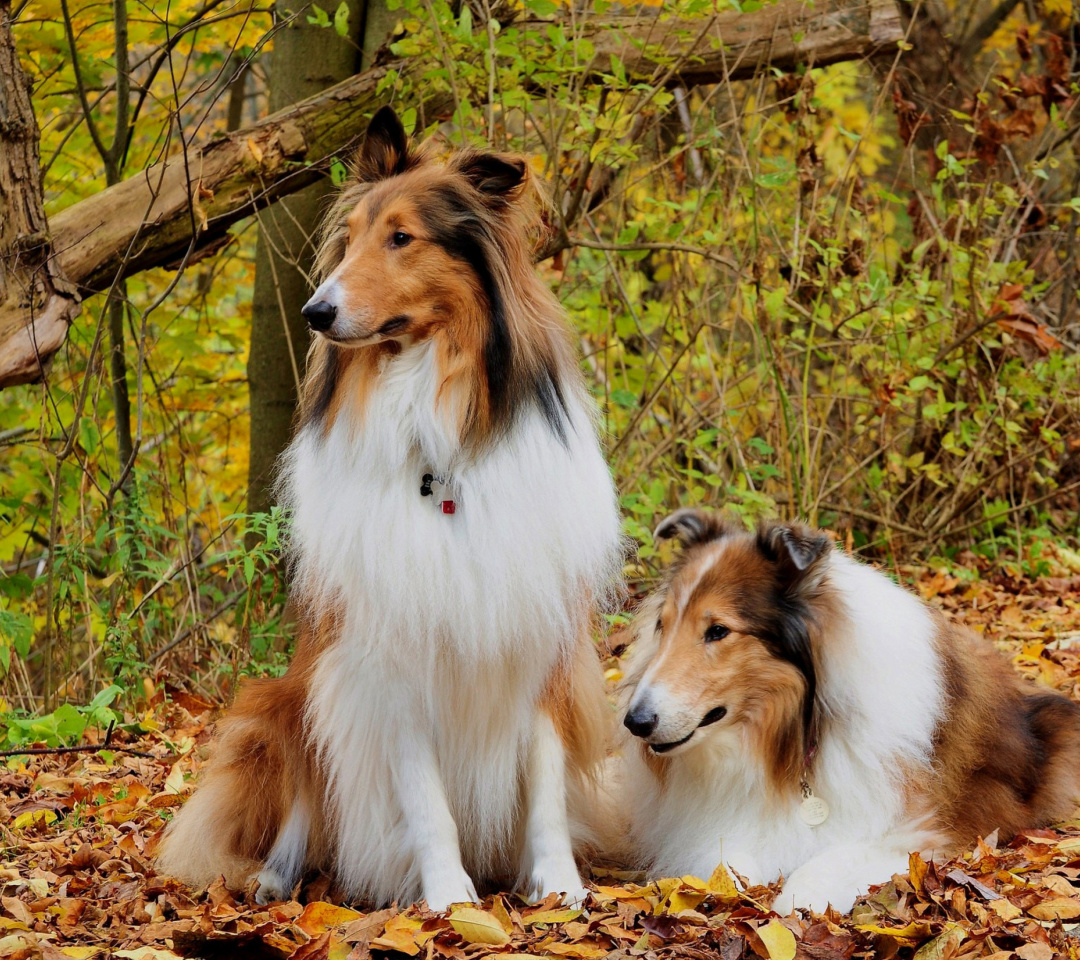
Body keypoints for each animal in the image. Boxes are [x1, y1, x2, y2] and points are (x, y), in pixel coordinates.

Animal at [157, 108, 626, 911]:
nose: (316, 311)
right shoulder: (388, 659)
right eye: (351, 240)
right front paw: (450, 900)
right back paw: (275, 879)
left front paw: (558, 885)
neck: (439, 449)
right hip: (282, 705)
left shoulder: (539, 638)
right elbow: (425, 798)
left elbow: (546, 784)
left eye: (402, 237)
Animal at [617, 514, 1080, 911]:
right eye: (663, 625)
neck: (793, 735)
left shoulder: (913, 829)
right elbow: (724, 859)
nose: (635, 722)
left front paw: (793, 903)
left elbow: (827, 864)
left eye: (718, 631)